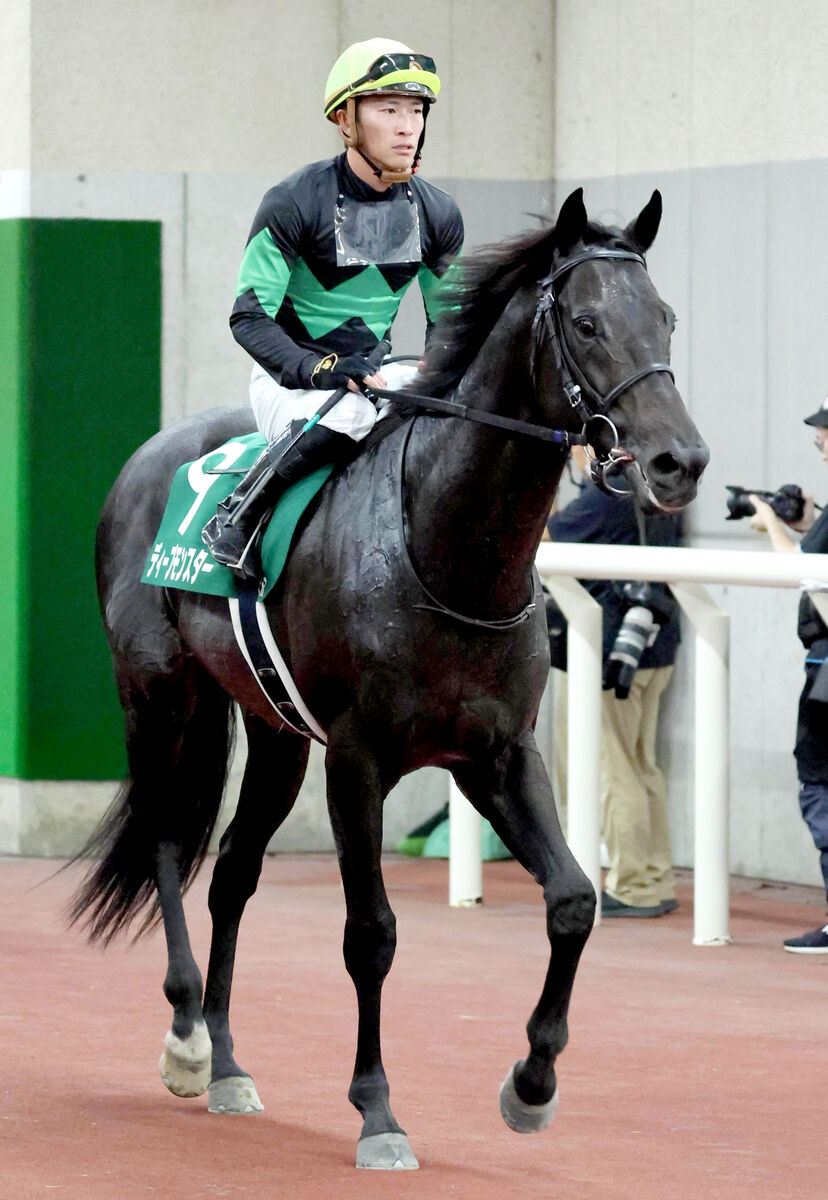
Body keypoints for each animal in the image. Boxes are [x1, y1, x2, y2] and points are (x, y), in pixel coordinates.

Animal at [69, 187, 708, 1170]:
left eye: (666, 318)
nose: (681, 461)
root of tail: (151, 454)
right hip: (160, 697)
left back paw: (228, 1064)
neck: (445, 546)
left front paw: (531, 1086)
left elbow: (572, 902)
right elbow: (371, 934)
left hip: (275, 735)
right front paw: (378, 1111)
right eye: (589, 324)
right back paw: (186, 1040)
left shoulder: (496, 753)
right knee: (169, 841)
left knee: (233, 875)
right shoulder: (359, 760)